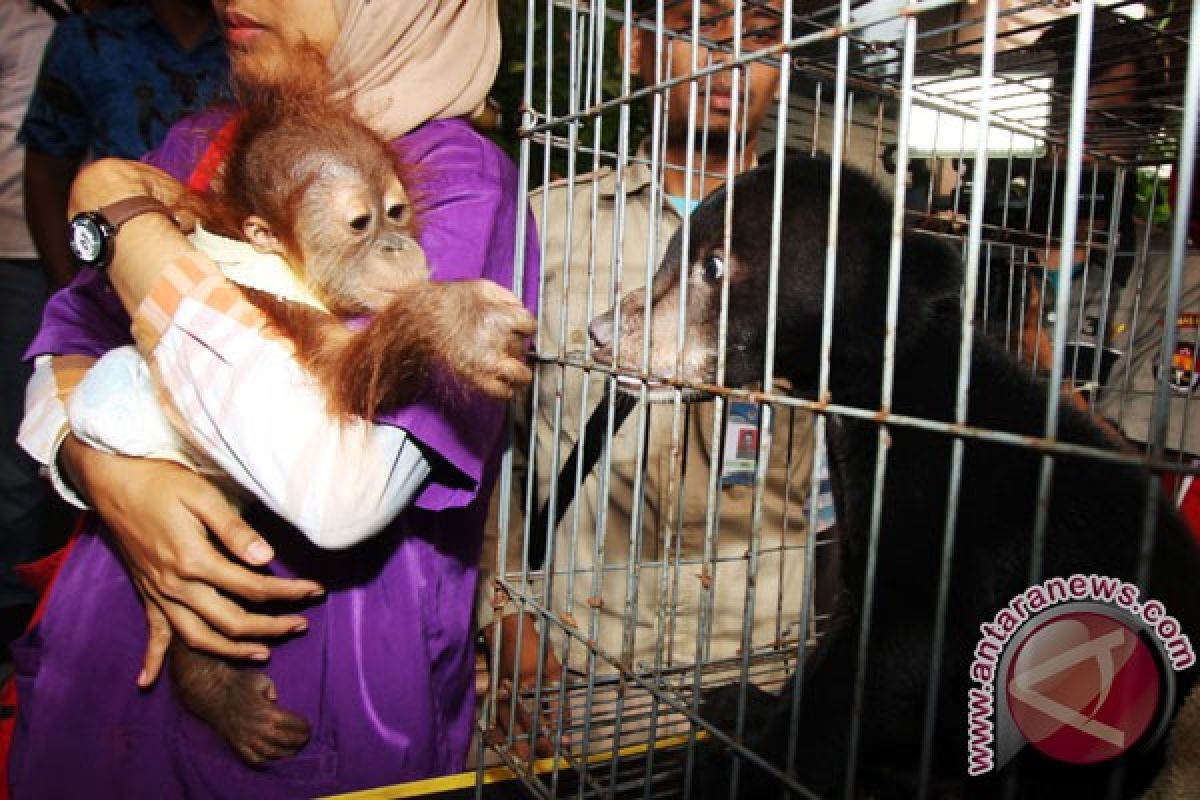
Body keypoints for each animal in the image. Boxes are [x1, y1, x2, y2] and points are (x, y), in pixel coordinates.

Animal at [588, 153, 1200, 796]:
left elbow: (888, 656)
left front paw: (735, 769)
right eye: (671, 252)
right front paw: (750, 707)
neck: (881, 394)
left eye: (713, 265)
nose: (602, 332)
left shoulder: (954, 533)